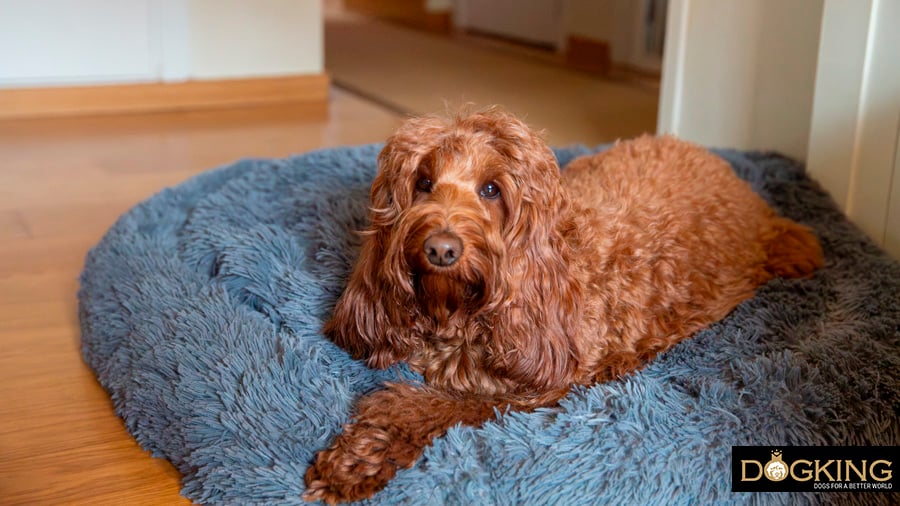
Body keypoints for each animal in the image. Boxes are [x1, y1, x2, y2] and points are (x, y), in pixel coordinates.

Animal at [302, 107, 824, 502]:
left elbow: (430, 405)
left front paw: (359, 455)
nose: (441, 249)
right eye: (423, 182)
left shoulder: (542, 388)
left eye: (491, 189)